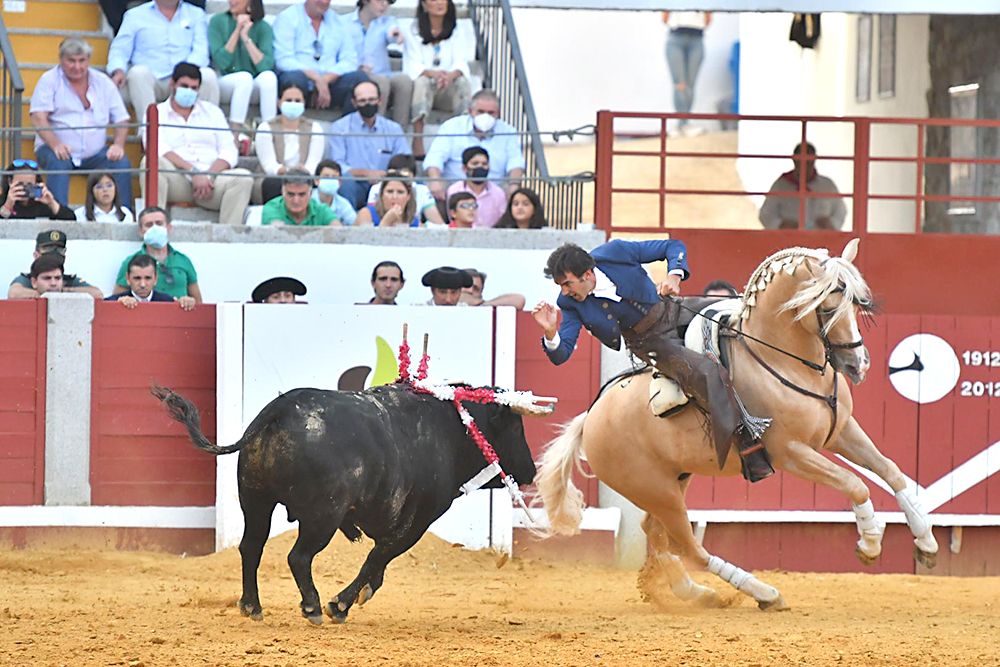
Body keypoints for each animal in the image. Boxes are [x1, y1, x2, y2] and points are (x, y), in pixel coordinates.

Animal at [150, 384, 540, 624]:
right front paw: (339, 605)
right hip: (322, 516)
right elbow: (378, 557)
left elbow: (378, 563)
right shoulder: (419, 519)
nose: (531, 470)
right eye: (515, 428)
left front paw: (357, 596)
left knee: (251, 547)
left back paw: (252, 605)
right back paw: (311, 606)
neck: (453, 426)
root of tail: (276, 411)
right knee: (298, 556)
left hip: (256, 500)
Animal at [536, 239, 940, 612]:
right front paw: (870, 543)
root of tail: (591, 416)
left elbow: (891, 471)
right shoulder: (791, 452)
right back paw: (763, 593)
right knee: (691, 548)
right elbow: (855, 483)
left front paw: (926, 543)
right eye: (826, 306)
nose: (858, 365)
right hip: (654, 489)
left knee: (657, 534)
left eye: (857, 303)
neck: (783, 359)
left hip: (673, 480)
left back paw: (695, 593)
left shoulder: (841, 432)